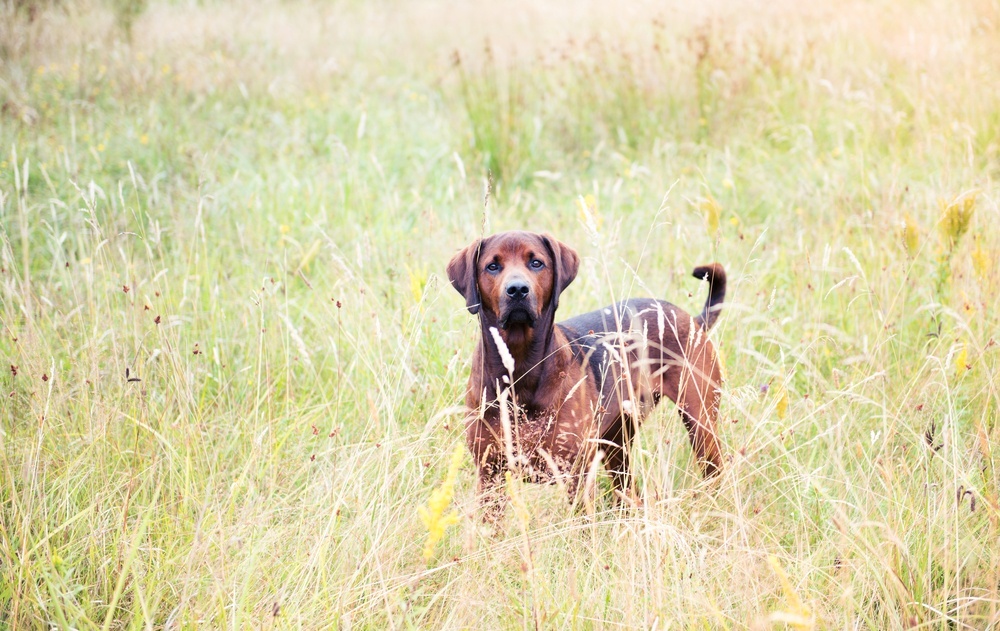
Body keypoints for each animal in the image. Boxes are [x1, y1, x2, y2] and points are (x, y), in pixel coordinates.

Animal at [450, 232, 724, 520]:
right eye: (492, 266)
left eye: (536, 263)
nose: (517, 290)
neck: (520, 367)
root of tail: (691, 319)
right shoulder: (489, 475)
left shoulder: (576, 474)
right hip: (617, 442)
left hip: (700, 423)